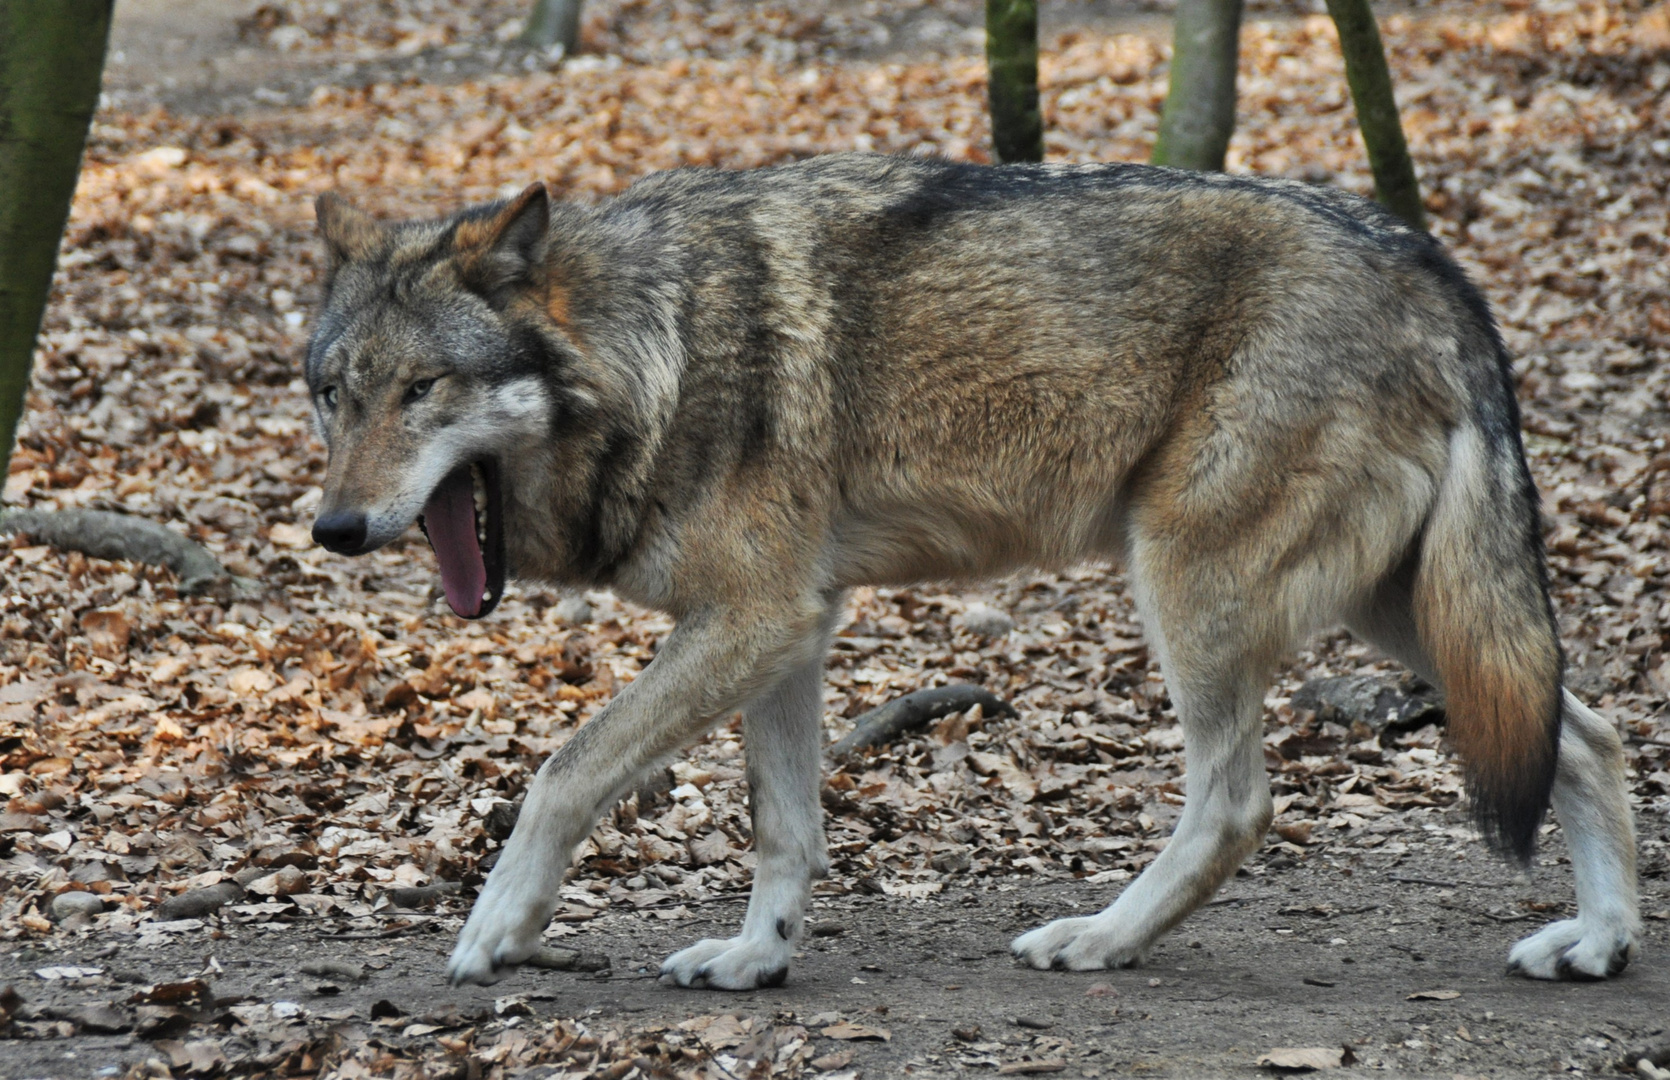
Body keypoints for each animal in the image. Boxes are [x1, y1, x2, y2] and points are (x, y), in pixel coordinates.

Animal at [303, 151, 1643, 988]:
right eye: (333, 395)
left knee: (1236, 805)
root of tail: (1433, 263)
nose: (335, 529)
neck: (657, 350)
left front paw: (497, 930)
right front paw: (755, 959)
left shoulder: (747, 618)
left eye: (424, 391)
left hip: (1191, 589)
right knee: (1584, 735)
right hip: (1402, 611)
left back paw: (1099, 940)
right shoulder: (787, 630)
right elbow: (785, 828)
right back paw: (1596, 943)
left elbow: (561, 774)